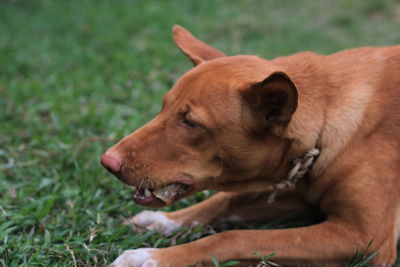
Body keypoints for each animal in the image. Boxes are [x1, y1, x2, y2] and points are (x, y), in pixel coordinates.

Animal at [101, 25, 400, 267]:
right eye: (163, 107)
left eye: (191, 122)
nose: (107, 161)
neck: (327, 119)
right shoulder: (301, 193)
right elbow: (226, 200)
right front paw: (165, 221)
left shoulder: (363, 237)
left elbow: (233, 238)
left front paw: (151, 257)